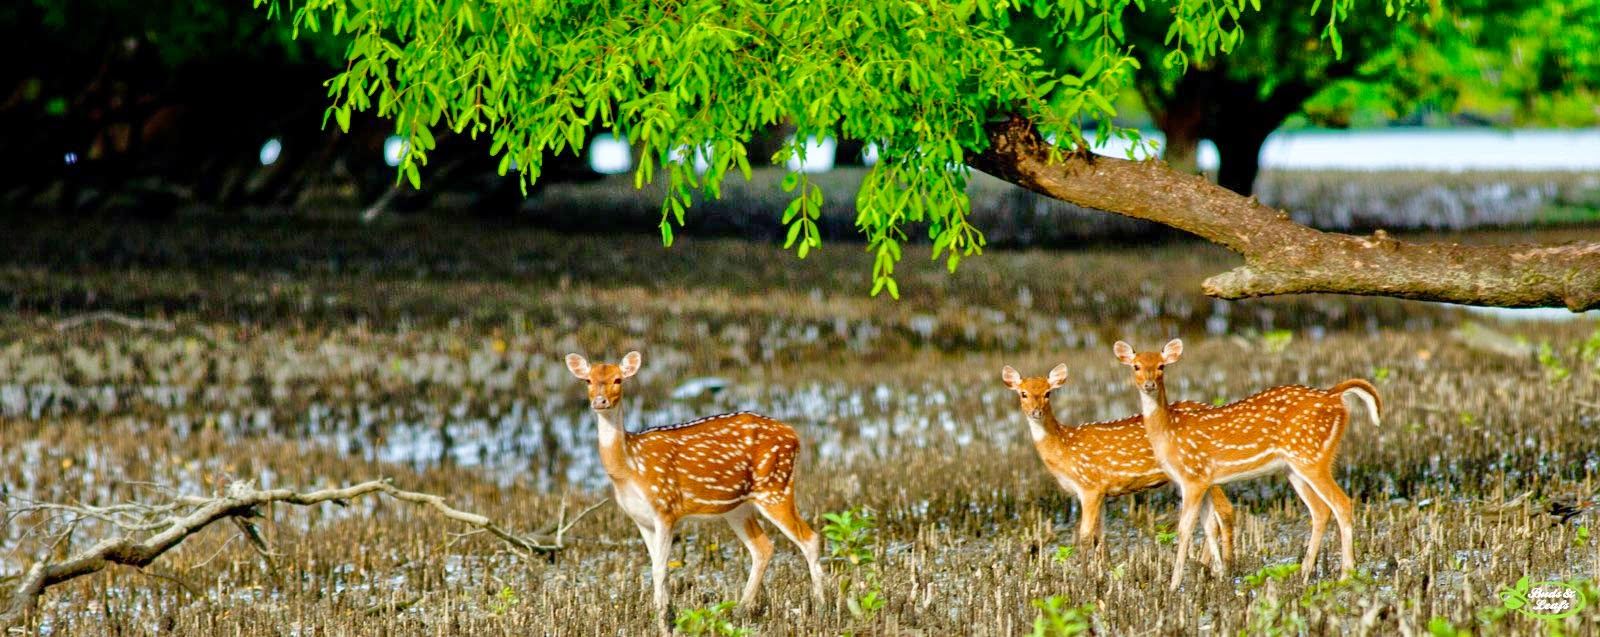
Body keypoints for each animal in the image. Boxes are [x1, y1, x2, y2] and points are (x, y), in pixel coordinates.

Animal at [566, 350, 825, 630]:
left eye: (618, 379)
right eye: (588, 380)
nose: (600, 401)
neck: (629, 468)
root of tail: (794, 435)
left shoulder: (666, 507)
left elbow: (661, 569)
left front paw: (665, 623)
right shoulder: (640, 518)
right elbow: (654, 566)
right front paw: (662, 616)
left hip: (776, 486)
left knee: (810, 538)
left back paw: (821, 606)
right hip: (738, 507)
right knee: (763, 548)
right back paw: (740, 610)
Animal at [998, 363, 1235, 566]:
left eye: (1048, 393)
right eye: (1023, 393)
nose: (1035, 412)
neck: (1065, 449)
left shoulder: (1090, 485)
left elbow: (1084, 535)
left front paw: (1084, 576)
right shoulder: (1102, 490)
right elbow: (1099, 536)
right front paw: (1104, 572)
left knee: (1225, 511)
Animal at [1113, 340, 1388, 588]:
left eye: (1161, 366)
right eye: (1136, 366)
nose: (1149, 384)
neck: (1169, 433)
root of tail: (1334, 395)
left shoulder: (1192, 476)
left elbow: (1185, 529)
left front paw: (1174, 584)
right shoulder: (1205, 479)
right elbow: (1209, 526)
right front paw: (1221, 575)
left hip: (1311, 456)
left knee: (1342, 503)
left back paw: (1346, 575)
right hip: (1294, 467)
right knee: (1320, 510)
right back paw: (1303, 573)